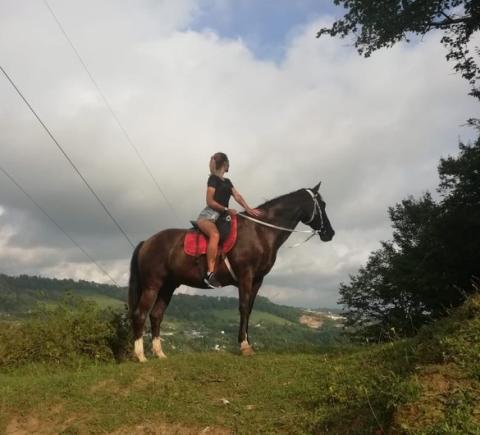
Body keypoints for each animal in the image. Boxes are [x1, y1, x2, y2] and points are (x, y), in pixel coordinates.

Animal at [128, 182, 334, 361]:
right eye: (322, 204)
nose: (330, 233)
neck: (260, 230)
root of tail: (147, 242)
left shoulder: (257, 280)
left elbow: (249, 310)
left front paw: (248, 342)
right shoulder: (245, 275)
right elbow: (243, 307)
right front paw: (244, 345)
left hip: (168, 286)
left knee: (156, 315)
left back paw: (159, 354)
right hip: (152, 285)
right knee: (140, 314)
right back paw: (140, 356)